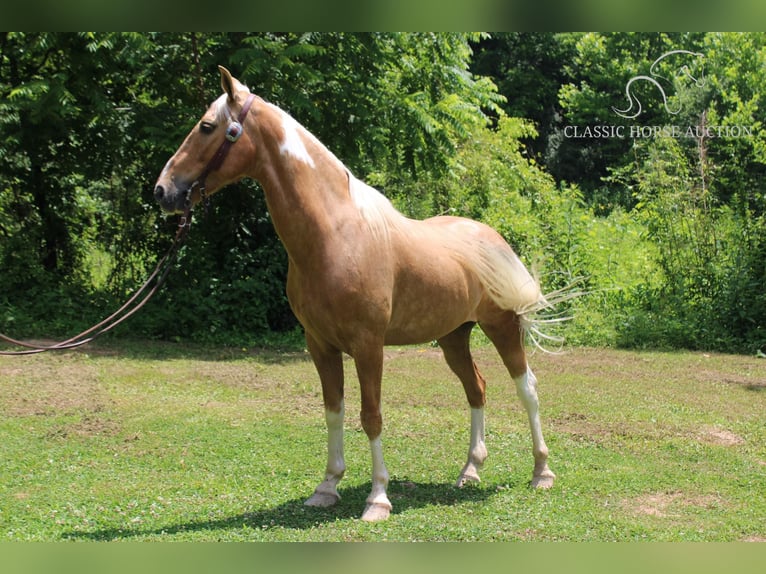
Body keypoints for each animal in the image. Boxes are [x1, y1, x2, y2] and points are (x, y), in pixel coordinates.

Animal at [152, 66, 560, 520]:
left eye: (207, 127)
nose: (163, 191)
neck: (335, 235)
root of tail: (491, 237)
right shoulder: (320, 345)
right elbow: (334, 412)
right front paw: (327, 486)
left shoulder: (368, 345)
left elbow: (371, 415)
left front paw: (378, 498)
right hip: (454, 336)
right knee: (477, 388)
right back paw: (470, 470)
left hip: (501, 326)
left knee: (528, 388)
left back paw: (542, 472)